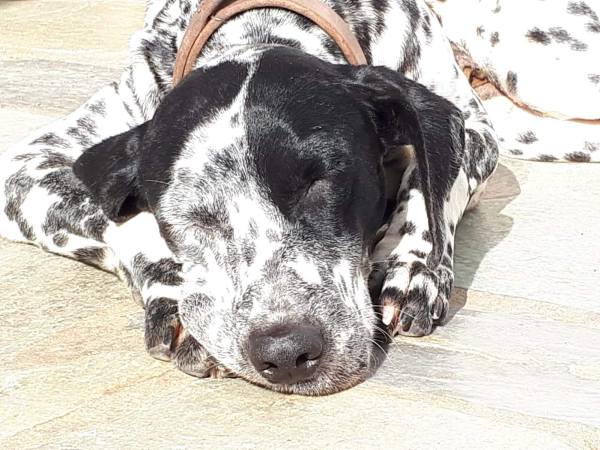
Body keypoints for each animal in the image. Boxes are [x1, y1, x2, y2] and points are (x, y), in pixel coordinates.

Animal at [0, 0, 596, 395]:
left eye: (322, 183)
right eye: (189, 217)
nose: (287, 353)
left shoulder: (469, 128)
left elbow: (428, 186)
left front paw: (413, 264)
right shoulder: (28, 170)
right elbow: (125, 222)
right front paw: (172, 294)